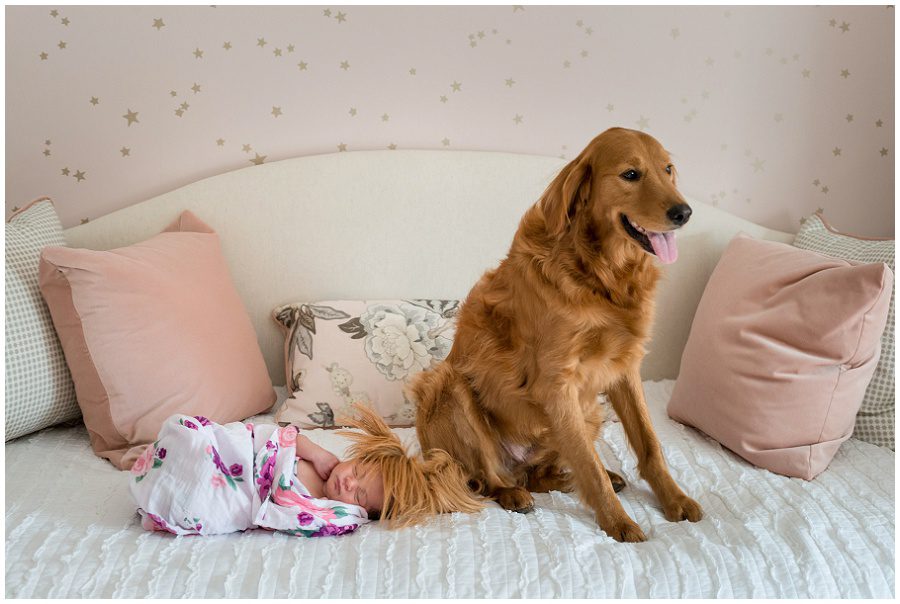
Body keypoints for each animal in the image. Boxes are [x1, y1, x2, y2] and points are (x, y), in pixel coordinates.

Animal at [406, 127, 704, 544]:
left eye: (668, 170)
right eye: (630, 174)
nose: (684, 213)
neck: (601, 275)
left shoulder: (625, 368)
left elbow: (648, 444)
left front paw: (674, 499)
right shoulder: (557, 382)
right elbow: (589, 465)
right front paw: (619, 522)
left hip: (589, 412)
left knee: (542, 475)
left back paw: (576, 479)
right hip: (448, 387)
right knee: (488, 478)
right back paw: (512, 492)